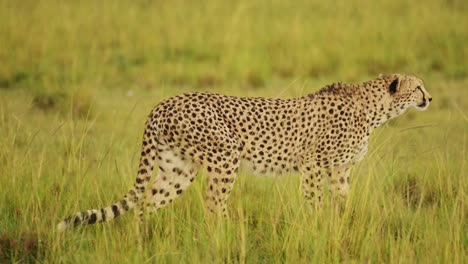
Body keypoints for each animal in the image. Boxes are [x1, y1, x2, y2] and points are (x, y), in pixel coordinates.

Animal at [57, 73, 432, 230]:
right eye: (418, 87)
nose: (429, 98)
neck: (375, 110)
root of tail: (164, 103)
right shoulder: (312, 163)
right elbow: (315, 201)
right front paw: (316, 227)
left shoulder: (341, 169)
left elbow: (341, 202)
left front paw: (339, 226)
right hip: (225, 156)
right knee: (213, 204)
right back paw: (228, 237)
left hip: (178, 168)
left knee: (146, 203)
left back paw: (141, 240)